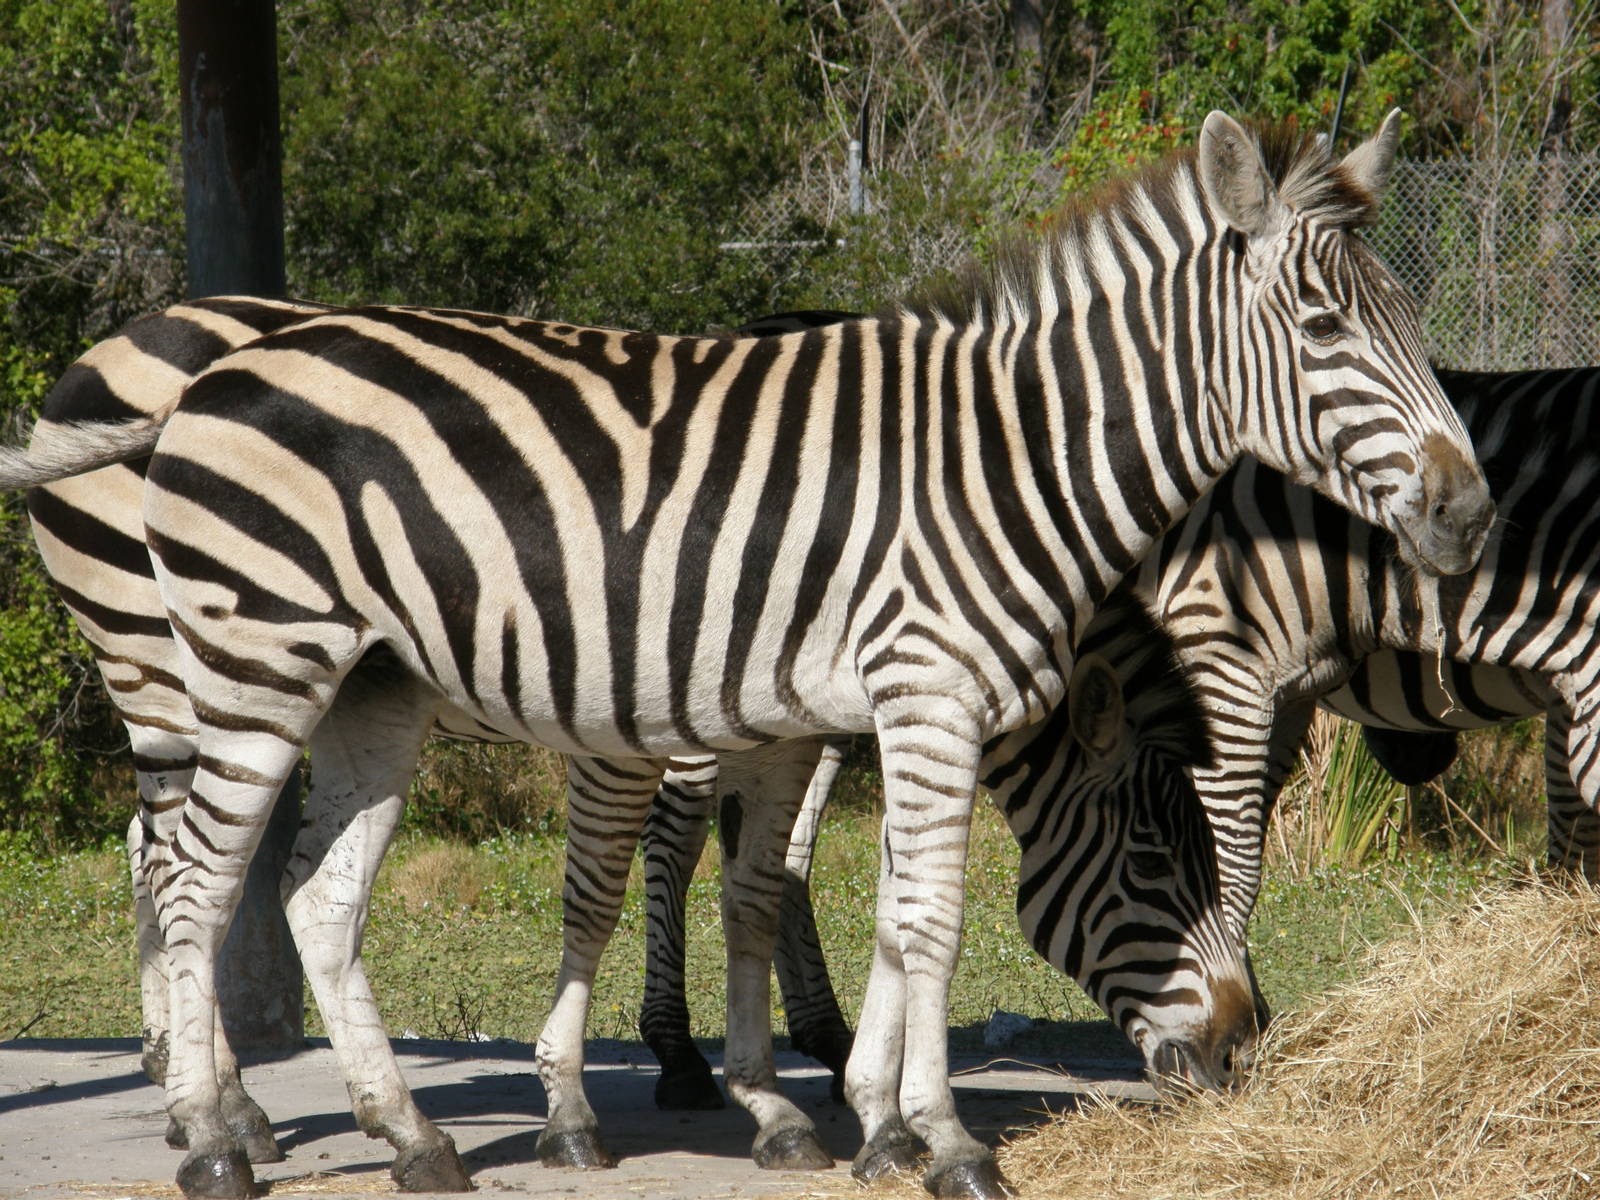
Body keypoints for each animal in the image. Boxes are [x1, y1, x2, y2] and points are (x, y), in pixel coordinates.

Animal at [1, 111, 1491, 1200]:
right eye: (1322, 331)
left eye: (1412, 323)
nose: (1469, 510)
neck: (1006, 462)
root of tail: (201, 372)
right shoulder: (922, 696)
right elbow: (920, 918)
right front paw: (941, 1144)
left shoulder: (836, 712)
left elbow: (817, 902)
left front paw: (853, 1118)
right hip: (241, 663)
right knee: (194, 883)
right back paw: (215, 1140)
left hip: (370, 688)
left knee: (312, 898)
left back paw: (412, 1143)